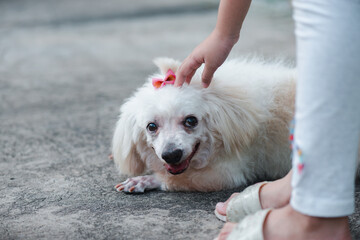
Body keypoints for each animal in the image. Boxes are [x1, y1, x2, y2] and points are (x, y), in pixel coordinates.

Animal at [112, 57, 296, 193]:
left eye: (191, 121)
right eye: (151, 126)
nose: (171, 155)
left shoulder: (226, 173)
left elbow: (172, 178)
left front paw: (144, 180)